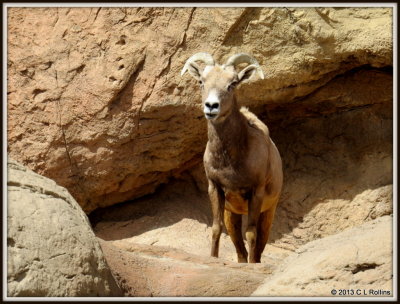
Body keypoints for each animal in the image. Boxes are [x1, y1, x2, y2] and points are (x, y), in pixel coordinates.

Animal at [181, 51, 284, 262]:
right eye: (202, 81)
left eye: (232, 84)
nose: (211, 106)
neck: (231, 164)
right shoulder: (216, 189)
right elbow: (216, 229)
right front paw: (213, 258)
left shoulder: (256, 193)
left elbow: (251, 233)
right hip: (233, 215)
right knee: (239, 248)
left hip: (268, 211)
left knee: (259, 243)